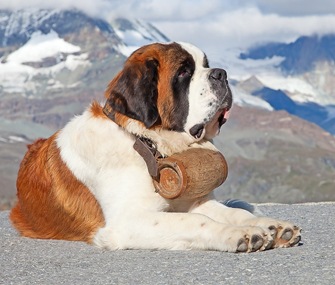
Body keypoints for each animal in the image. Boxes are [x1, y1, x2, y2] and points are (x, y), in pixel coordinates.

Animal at [9, 41, 302, 251]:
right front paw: (240, 234)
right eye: (183, 72)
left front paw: (272, 227)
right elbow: (196, 221)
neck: (147, 144)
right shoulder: (126, 222)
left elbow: (233, 213)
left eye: (205, 65)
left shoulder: (194, 201)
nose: (222, 73)